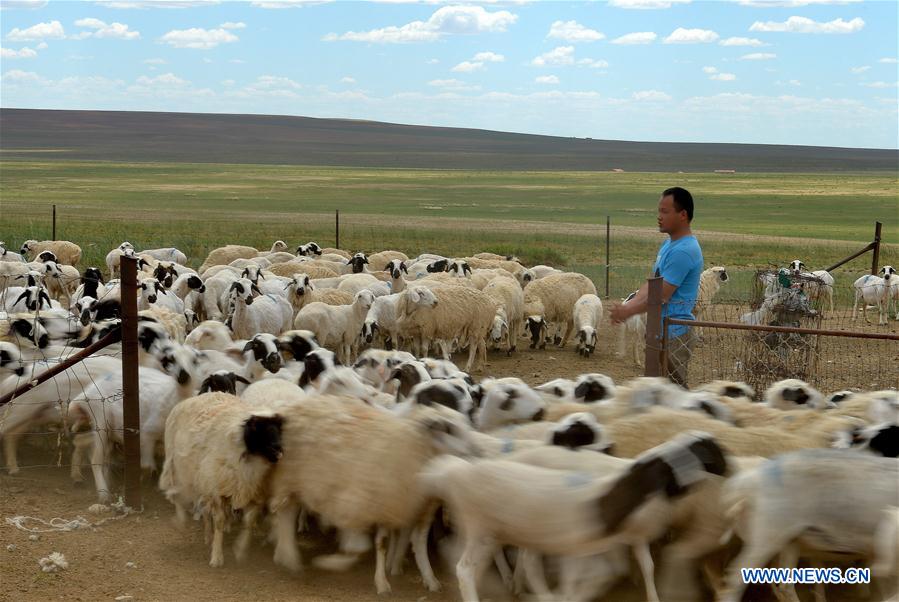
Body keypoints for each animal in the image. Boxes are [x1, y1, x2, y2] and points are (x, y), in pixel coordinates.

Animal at [158, 392, 284, 564]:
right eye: (256, 427)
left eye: (279, 427)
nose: (278, 448)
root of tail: (197, 397)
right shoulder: (217, 490)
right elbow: (219, 521)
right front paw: (217, 557)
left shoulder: (255, 492)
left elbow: (249, 522)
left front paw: (240, 550)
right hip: (177, 467)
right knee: (177, 496)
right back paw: (182, 522)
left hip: (202, 479)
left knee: (205, 509)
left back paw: (208, 535)